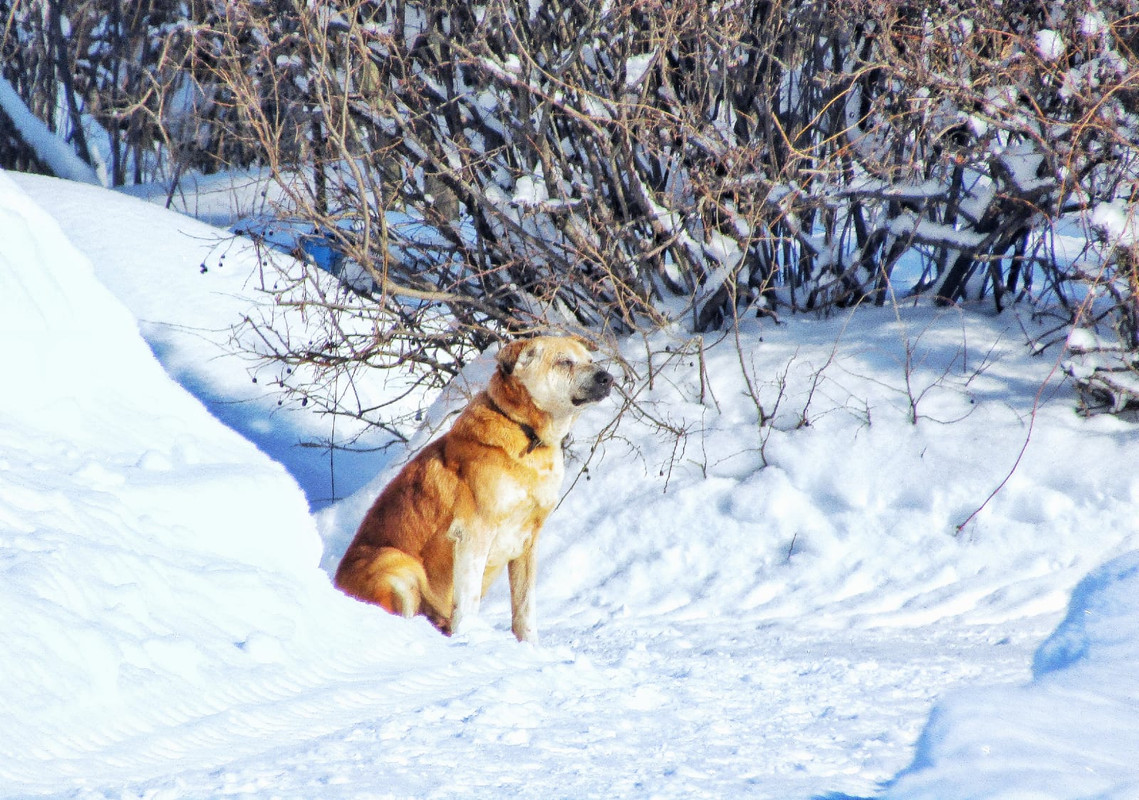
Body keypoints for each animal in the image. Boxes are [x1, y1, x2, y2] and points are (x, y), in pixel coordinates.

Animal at [332, 335, 610, 642]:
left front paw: (529, 645)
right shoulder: (473, 533)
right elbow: (468, 600)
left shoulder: (529, 541)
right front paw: (470, 635)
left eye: (590, 360)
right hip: (398, 564)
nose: (607, 378)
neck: (525, 430)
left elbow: (524, 607)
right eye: (564, 362)